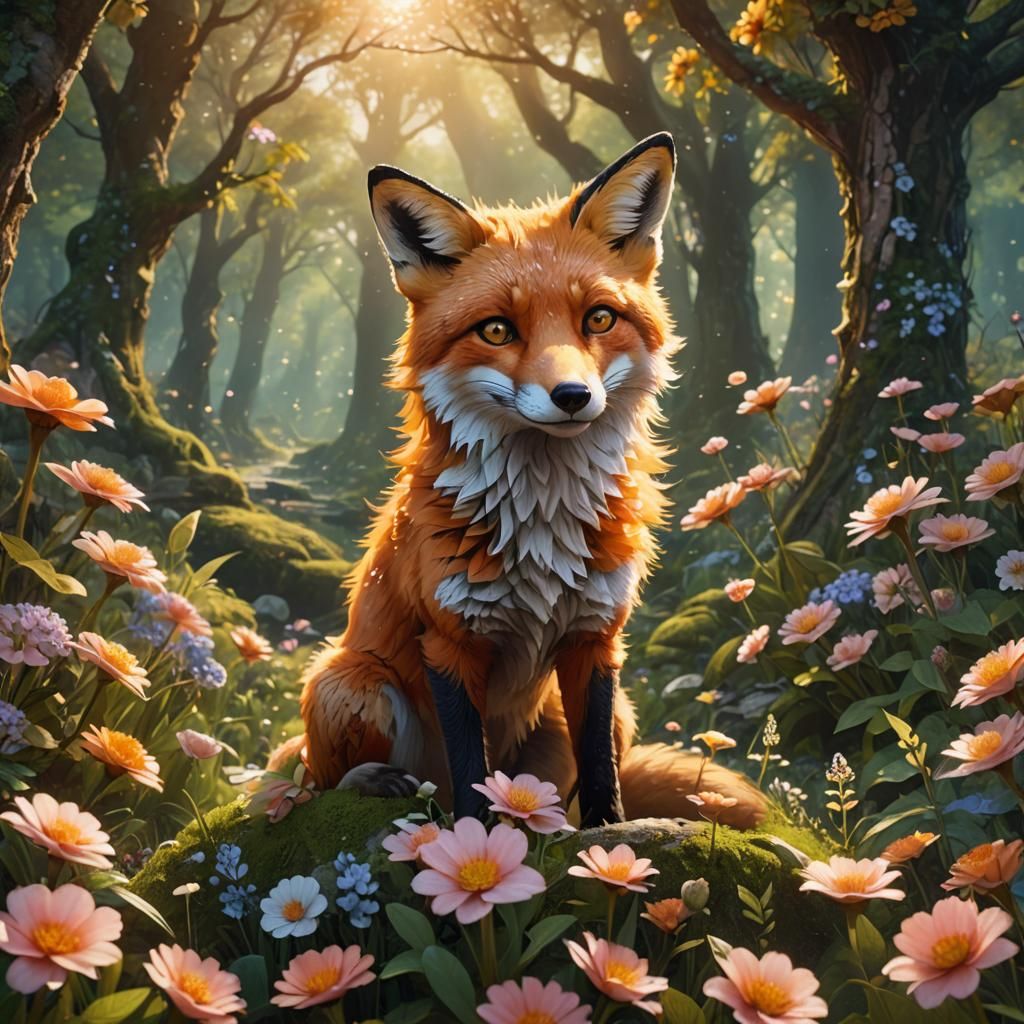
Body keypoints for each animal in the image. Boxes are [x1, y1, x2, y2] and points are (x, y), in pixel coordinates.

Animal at [274, 132, 766, 829]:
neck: (542, 522)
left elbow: (600, 771)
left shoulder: (596, 637)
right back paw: (378, 782)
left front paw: (609, 839)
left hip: (608, 714)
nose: (573, 395)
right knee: (320, 780)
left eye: (598, 319)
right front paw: (472, 843)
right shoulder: (449, 642)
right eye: (497, 330)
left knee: (556, 788)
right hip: (348, 682)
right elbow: (470, 770)